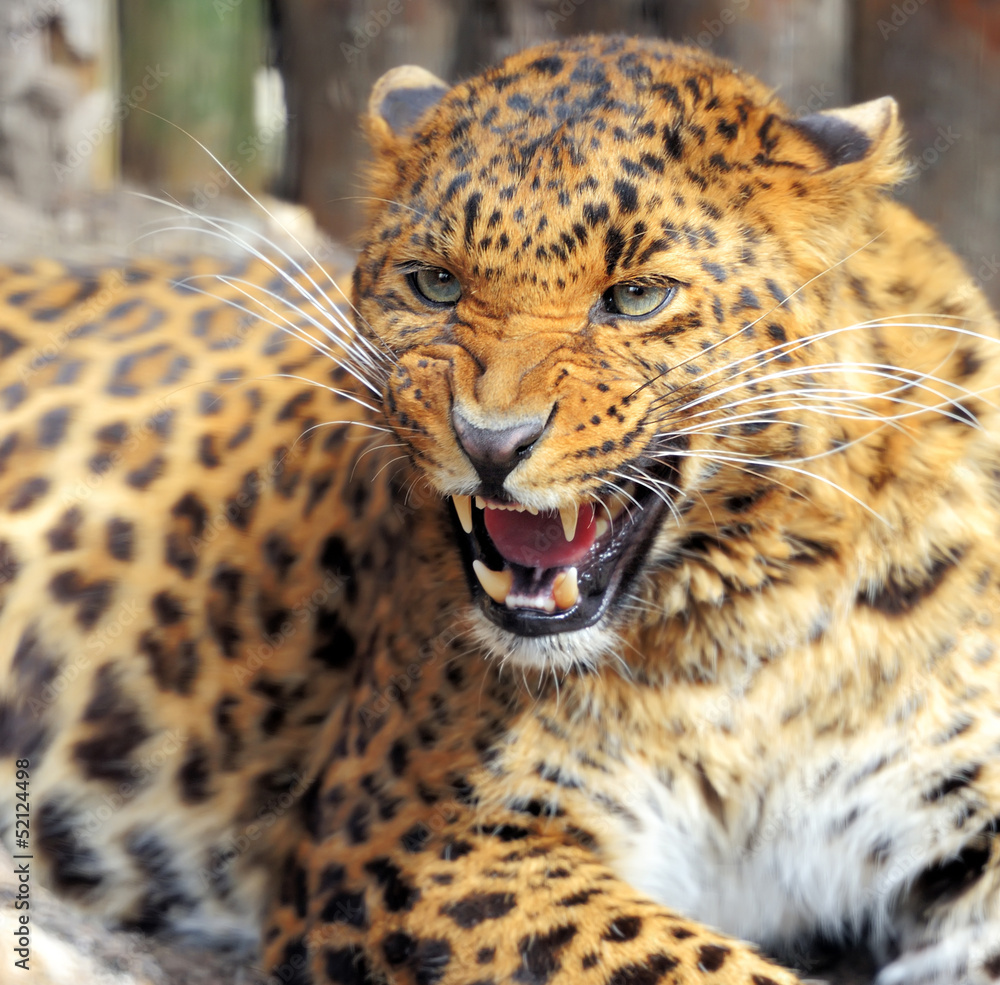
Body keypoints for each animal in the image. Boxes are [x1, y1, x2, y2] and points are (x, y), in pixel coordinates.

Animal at [2, 32, 1000, 985]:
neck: (739, 634)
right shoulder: (408, 840)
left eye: (637, 296)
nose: (491, 442)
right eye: (435, 283)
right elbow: (692, 965)